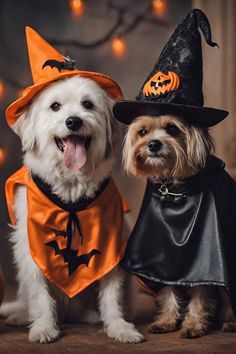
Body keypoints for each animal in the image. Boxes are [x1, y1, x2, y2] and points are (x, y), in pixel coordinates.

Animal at [0, 76, 144, 344]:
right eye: (55, 106)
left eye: (87, 104)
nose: (73, 121)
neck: (71, 190)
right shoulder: (31, 247)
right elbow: (40, 293)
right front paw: (43, 326)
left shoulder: (111, 247)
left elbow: (112, 294)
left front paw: (119, 327)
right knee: (28, 298)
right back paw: (21, 315)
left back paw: (90, 315)